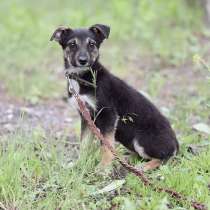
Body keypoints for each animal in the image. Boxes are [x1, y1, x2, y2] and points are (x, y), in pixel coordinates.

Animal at [50, 23, 179, 171]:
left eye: (92, 44)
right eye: (72, 44)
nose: (83, 61)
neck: (83, 77)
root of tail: (176, 144)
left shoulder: (108, 114)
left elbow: (107, 145)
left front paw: (103, 167)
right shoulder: (86, 117)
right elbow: (84, 144)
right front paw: (80, 164)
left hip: (141, 140)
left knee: (165, 158)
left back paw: (143, 166)